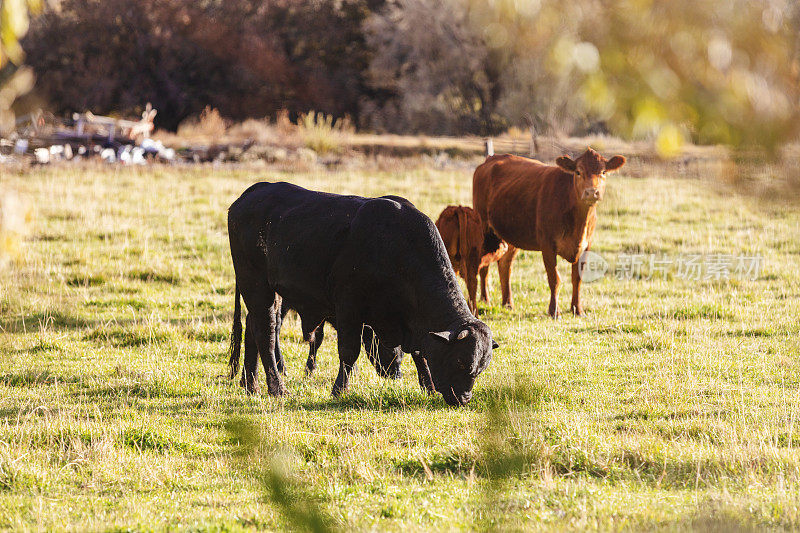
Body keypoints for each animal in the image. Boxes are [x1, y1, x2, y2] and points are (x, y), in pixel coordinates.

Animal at [225, 181, 496, 406]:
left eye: (480, 369)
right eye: (460, 361)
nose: (463, 398)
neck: (395, 248)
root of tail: (254, 191)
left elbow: (420, 355)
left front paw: (428, 387)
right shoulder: (348, 308)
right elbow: (349, 351)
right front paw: (339, 390)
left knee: (252, 328)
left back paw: (250, 384)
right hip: (257, 286)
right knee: (266, 334)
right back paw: (277, 388)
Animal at [472, 148, 628, 318]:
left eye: (603, 172)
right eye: (578, 172)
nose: (592, 192)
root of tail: (490, 159)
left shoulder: (587, 245)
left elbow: (577, 278)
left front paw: (577, 309)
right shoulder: (547, 245)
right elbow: (554, 279)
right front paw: (554, 311)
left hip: (511, 236)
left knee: (505, 265)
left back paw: (508, 303)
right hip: (484, 227)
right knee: (484, 265)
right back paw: (485, 299)